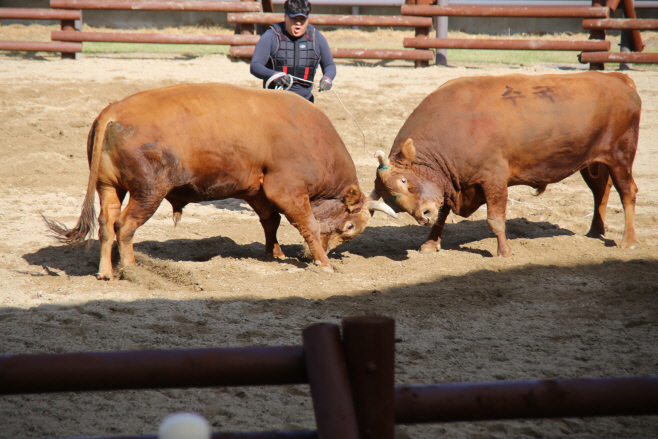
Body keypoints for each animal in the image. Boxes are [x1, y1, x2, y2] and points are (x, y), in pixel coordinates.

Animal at [46, 82, 394, 278]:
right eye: (349, 227)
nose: (312, 255)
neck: (311, 137)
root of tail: (114, 112)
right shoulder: (288, 190)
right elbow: (306, 224)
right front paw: (323, 264)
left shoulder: (257, 191)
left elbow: (270, 221)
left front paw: (276, 253)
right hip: (148, 192)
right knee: (125, 226)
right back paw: (130, 267)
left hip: (110, 187)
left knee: (107, 224)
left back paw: (106, 271)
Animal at [372, 72, 640, 258]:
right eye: (392, 200)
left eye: (404, 180)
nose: (423, 214)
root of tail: (619, 79)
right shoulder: (449, 181)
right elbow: (442, 214)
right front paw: (430, 243)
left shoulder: (493, 179)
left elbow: (495, 219)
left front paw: (504, 251)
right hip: (592, 160)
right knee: (600, 191)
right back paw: (595, 231)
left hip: (620, 156)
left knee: (627, 192)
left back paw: (628, 240)